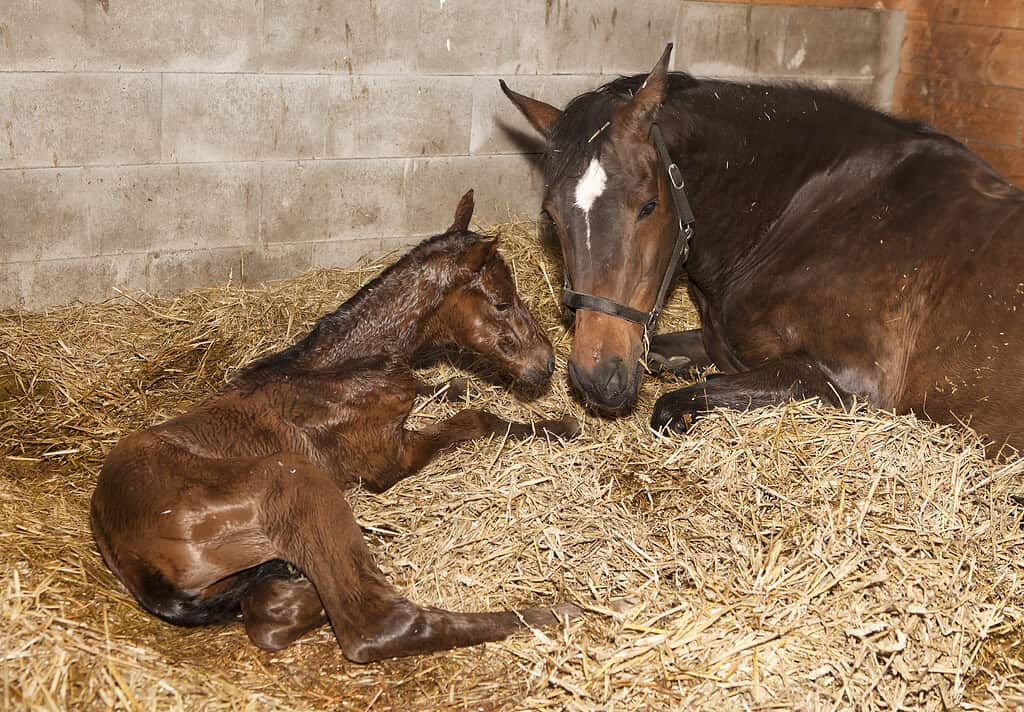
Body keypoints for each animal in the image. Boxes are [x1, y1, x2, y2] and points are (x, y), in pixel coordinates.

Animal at [90, 191, 582, 663]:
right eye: (502, 302)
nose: (546, 364)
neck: (344, 370)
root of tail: (128, 553)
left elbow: (440, 390)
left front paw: (455, 384)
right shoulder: (390, 459)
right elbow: (475, 419)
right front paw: (560, 425)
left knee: (272, 608)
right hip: (292, 477)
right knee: (373, 625)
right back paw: (554, 611)